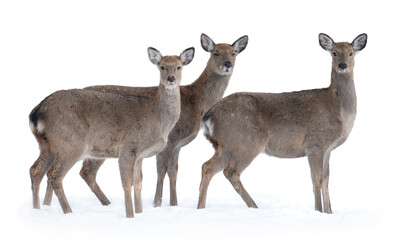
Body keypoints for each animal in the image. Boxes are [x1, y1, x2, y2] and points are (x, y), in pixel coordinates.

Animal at [28, 46, 194, 218]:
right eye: (161, 66)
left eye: (179, 67)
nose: (171, 78)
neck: (158, 121)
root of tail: (36, 112)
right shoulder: (128, 147)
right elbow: (127, 184)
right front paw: (130, 216)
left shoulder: (139, 155)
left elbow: (138, 184)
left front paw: (140, 213)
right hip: (70, 144)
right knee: (55, 175)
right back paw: (68, 212)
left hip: (47, 146)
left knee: (35, 170)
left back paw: (37, 209)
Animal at [40, 33, 249, 208]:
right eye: (215, 53)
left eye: (233, 53)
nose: (228, 64)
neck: (195, 102)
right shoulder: (171, 139)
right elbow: (162, 170)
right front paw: (157, 203)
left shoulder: (178, 144)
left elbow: (174, 172)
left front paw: (174, 204)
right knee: (82, 171)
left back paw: (50, 205)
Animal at [197, 32, 366, 214]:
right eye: (334, 53)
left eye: (351, 53)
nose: (342, 65)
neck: (338, 111)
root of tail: (208, 116)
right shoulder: (315, 143)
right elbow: (317, 180)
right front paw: (319, 212)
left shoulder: (328, 149)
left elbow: (327, 180)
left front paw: (329, 212)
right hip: (248, 142)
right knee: (230, 171)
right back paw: (255, 207)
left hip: (227, 145)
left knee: (207, 167)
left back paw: (201, 208)